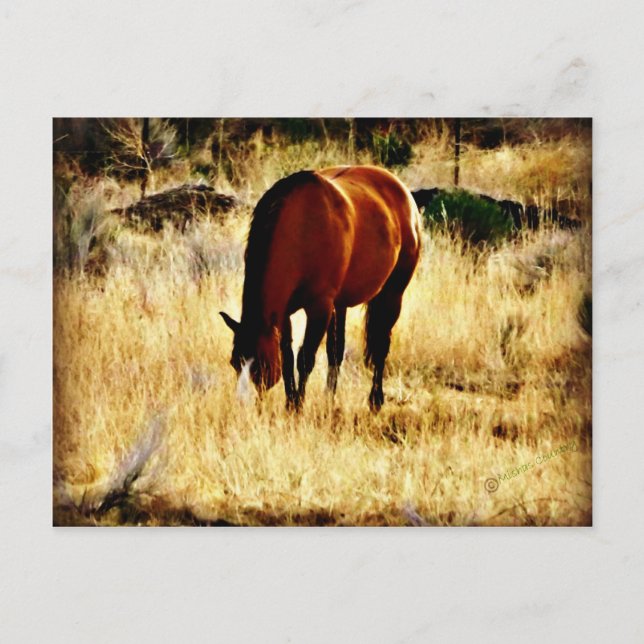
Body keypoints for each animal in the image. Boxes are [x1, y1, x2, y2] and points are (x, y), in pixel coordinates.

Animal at [220, 165, 422, 411]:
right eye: (234, 362)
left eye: (260, 364)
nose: (243, 404)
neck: (302, 229)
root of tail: (404, 193)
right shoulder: (285, 314)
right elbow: (288, 357)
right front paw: (291, 402)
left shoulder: (320, 308)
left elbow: (305, 359)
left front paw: (297, 406)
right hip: (341, 304)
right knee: (336, 352)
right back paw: (329, 398)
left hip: (392, 294)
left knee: (381, 345)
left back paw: (375, 400)